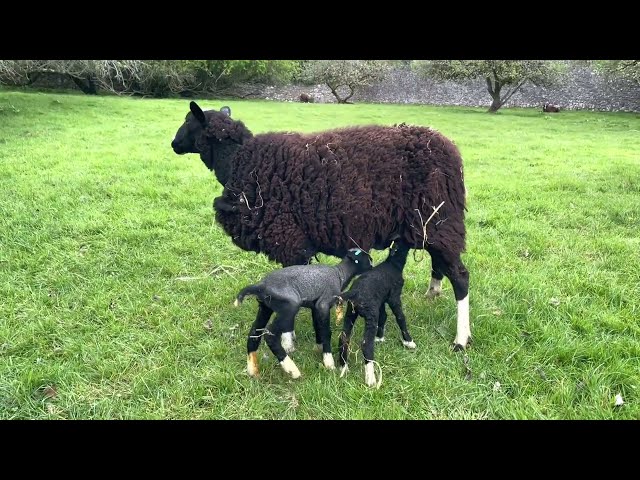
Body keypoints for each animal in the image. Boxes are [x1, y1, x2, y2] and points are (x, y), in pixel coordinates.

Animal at [171, 101, 471, 352]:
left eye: (188, 120)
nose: (173, 144)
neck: (238, 162)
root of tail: (450, 149)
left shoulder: (289, 240)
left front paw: (288, 341)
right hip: (430, 226)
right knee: (440, 264)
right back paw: (433, 294)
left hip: (441, 221)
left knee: (461, 277)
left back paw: (461, 339)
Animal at [234, 248, 373, 379]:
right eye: (369, 260)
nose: (373, 267)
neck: (340, 274)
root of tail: (261, 286)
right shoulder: (323, 304)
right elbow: (326, 332)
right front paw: (329, 361)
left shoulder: (315, 307)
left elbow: (318, 327)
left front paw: (319, 349)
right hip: (289, 306)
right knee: (269, 333)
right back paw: (292, 369)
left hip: (265, 307)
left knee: (254, 332)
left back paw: (252, 370)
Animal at [335, 241, 414, 387]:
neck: (393, 264)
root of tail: (355, 293)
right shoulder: (394, 296)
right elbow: (400, 317)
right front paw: (409, 341)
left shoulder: (381, 300)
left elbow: (383, 317)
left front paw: (380, 337)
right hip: (370, 314)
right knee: (366, 344)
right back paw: (370, 378)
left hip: (350, 313)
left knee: (344, 338)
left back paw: (344, 366)